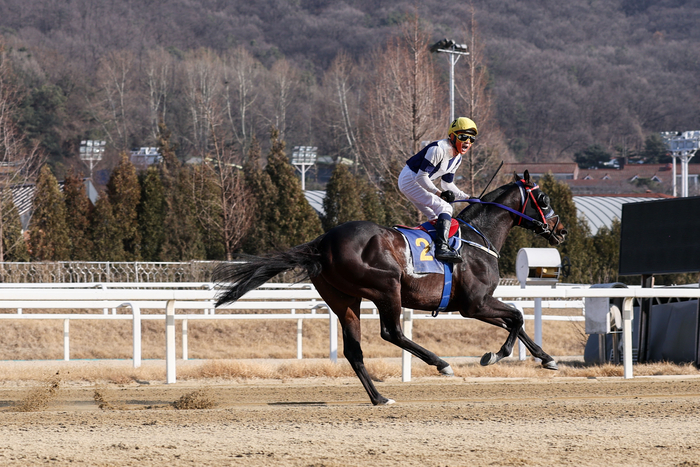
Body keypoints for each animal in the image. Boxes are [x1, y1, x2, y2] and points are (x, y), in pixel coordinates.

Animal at [214, 171, 567, 405]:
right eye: (544, 199)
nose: (561, 230)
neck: (476, 237)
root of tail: (322, 242)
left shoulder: (476, 304)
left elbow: (515, 322)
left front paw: (546, 358)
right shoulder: (474, 304)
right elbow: (517, 316)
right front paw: (495, 355)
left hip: (344, 300)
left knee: (354, 351)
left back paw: (379, 397)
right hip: (387, 287)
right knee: (391, 333)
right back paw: (441, 363)